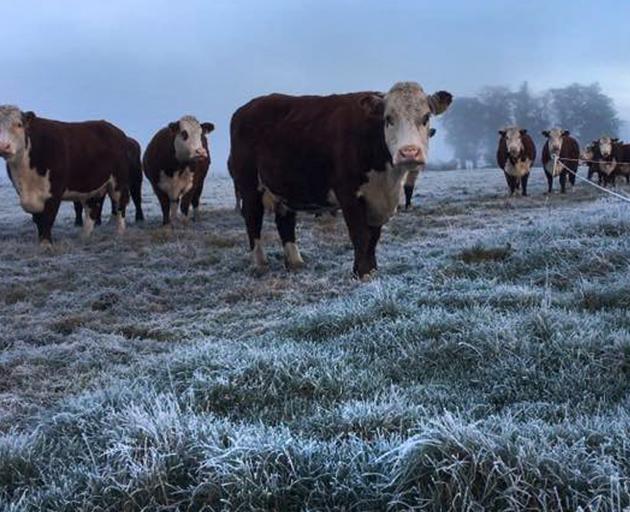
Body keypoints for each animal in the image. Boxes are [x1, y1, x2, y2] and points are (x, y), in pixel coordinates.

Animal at [0, 105, 130, 245]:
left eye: (19, 124)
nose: (3, 146)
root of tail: (115, 130)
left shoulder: (54, 192)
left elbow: (47, 219)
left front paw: (46, 244)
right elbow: (38, 220)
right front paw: (41, 242)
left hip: (118, 183)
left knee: (120, 206)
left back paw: (120, 233)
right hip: (90, 186)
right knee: (92, 210)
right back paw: (84, 237)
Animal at [228, 81, 454, 278]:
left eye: (425, 117)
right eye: (388, 118)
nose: (409, 152)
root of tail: (245, 109)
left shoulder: (378, 199)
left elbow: (373, 237)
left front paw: (372, 269)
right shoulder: (348, 194)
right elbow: (360, 235)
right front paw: (361, 273)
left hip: (284, 186)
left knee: (285, 221)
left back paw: (295, 262)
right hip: (249, 186)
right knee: (252, 220)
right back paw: (260, 263)